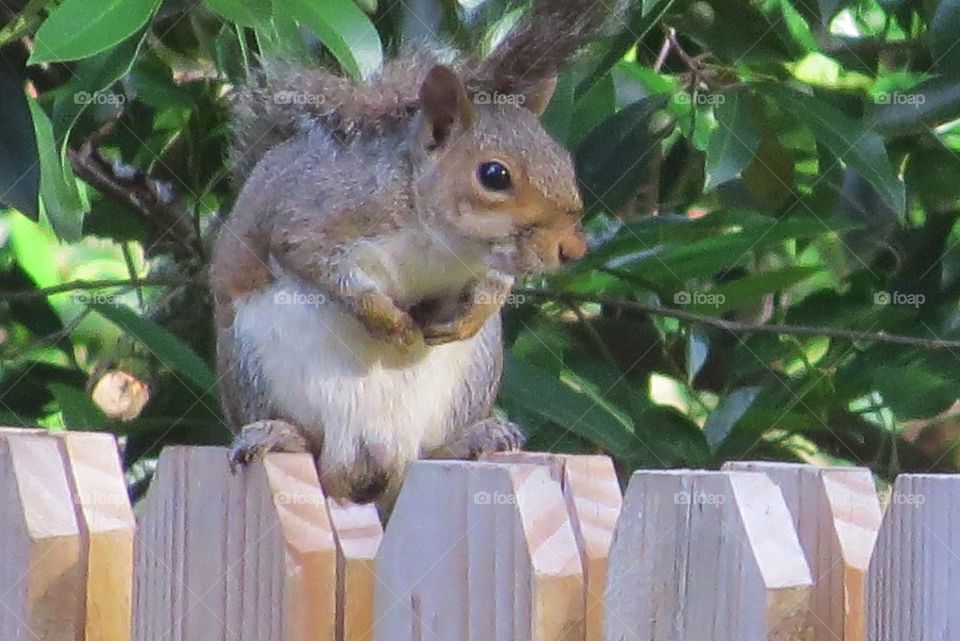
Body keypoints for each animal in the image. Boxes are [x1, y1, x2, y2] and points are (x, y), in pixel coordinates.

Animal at [211, 0, 618, 505]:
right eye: (494, 175)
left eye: (563, 159)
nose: (573, 248)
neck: (442, 240)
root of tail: (370, 461)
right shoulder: (311, 224)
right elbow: (332, 276)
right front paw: (397, 327)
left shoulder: (489, 266)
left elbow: (494, 288)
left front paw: (467, 316)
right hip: (252, 364)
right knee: (312, 450)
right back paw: (282, 434)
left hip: (472, 378)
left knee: (427, 455)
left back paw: (473, 438)